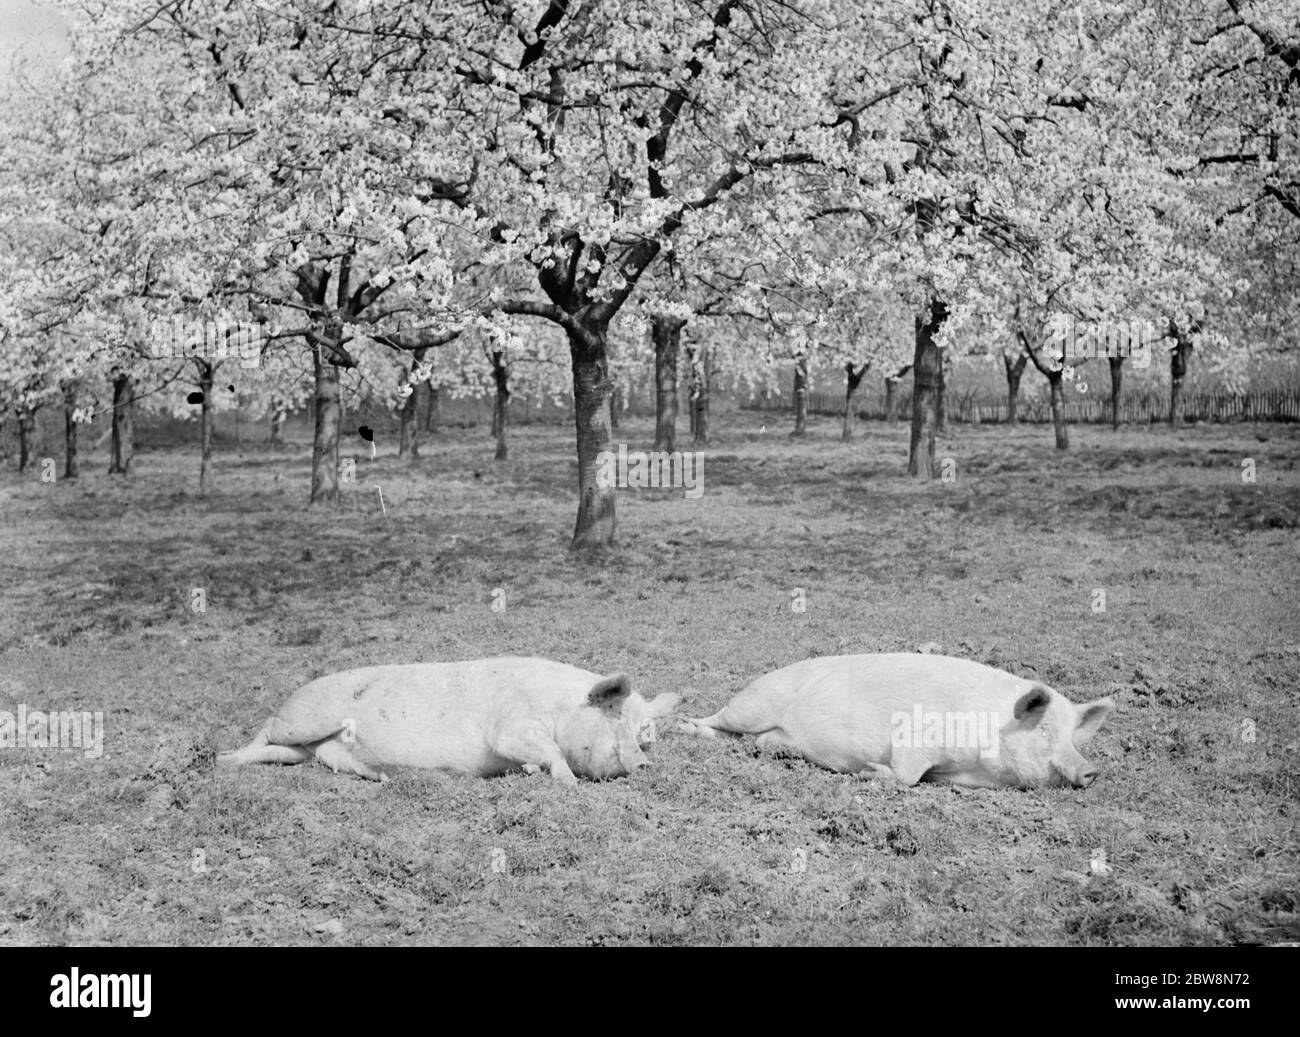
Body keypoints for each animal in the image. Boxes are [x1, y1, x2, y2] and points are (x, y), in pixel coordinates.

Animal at [218, 657, 681, 790]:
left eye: (645, 736)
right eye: (615, 718)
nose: (644, 764)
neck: (560, 706)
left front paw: (534, 773)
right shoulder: (509, 727)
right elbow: (548, 749)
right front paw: (566, 782)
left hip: (306, 747)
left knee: (293, 753)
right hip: (301, 719)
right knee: (265, 727)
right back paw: (219, 759)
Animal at [681, 654, 1118, 790]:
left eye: (1074, 739)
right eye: (1044, 730)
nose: (1090, 770)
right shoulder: (917, 735)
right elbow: (906, 774)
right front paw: (867, 772)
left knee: (756, 742)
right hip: (752, 703)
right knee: (715, 721)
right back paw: (685, 727)